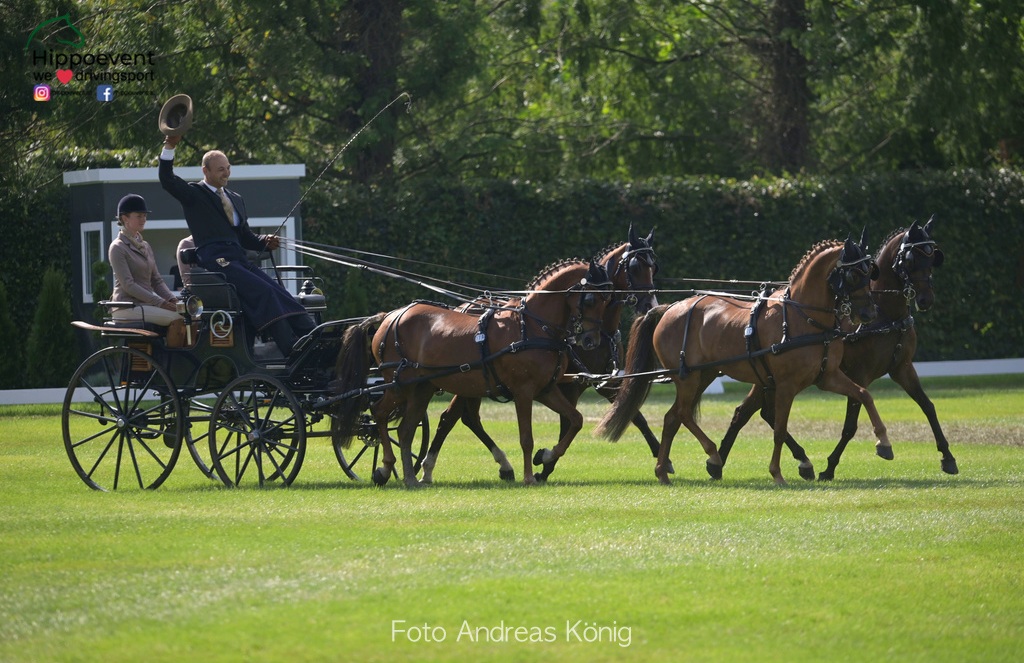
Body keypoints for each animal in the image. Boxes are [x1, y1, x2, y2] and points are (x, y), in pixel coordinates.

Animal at [331, 257, 610, 485]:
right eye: (590, 299)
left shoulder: (546, 389)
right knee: (380, 413)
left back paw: (410, 477)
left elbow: (576, 419)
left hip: (422, 388)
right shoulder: (523, 392)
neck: (532, 326)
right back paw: (387, 468)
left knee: (406, 429)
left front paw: (546, 456)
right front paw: (530, 476)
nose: (591, 340)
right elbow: (526, 437)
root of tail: (389, 316)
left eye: (607, 300)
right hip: (401, 386)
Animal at [415, 225, 663, 485]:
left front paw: (661, 455)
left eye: (654, 267)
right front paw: (545, 466)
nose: (650, 305)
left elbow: (632, 414)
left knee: (465, 417)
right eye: (635, 267)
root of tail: (463, 306)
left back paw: (500, 466)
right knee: (451, 417)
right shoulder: (569, 386)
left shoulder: (602, 381)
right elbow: (567, 424)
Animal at [593, 235, 888, 485]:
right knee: (683, 414)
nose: (870, 312)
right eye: (854, 273)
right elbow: (779, 428)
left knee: (672, 417)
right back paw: (711, 455)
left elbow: (864, 394)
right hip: (688, 377)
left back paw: (663, 471)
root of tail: (669, 308)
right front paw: (777, 473)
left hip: (703, 375)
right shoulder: (786, 385)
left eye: (870, 271)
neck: (802, 317)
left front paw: (883, 442)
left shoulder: (827, 377)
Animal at [716, 218, 954, 481]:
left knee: (751, 413)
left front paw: (948, 457)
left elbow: (928, 406)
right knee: (755, 413)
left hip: (767, 378)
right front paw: (830, 466)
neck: (886, 315)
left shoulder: (902, 368)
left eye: (933, 260)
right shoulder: (860, 373)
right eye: (910, 260)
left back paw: (723, 460)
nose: (925, 299)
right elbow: (850, 425)